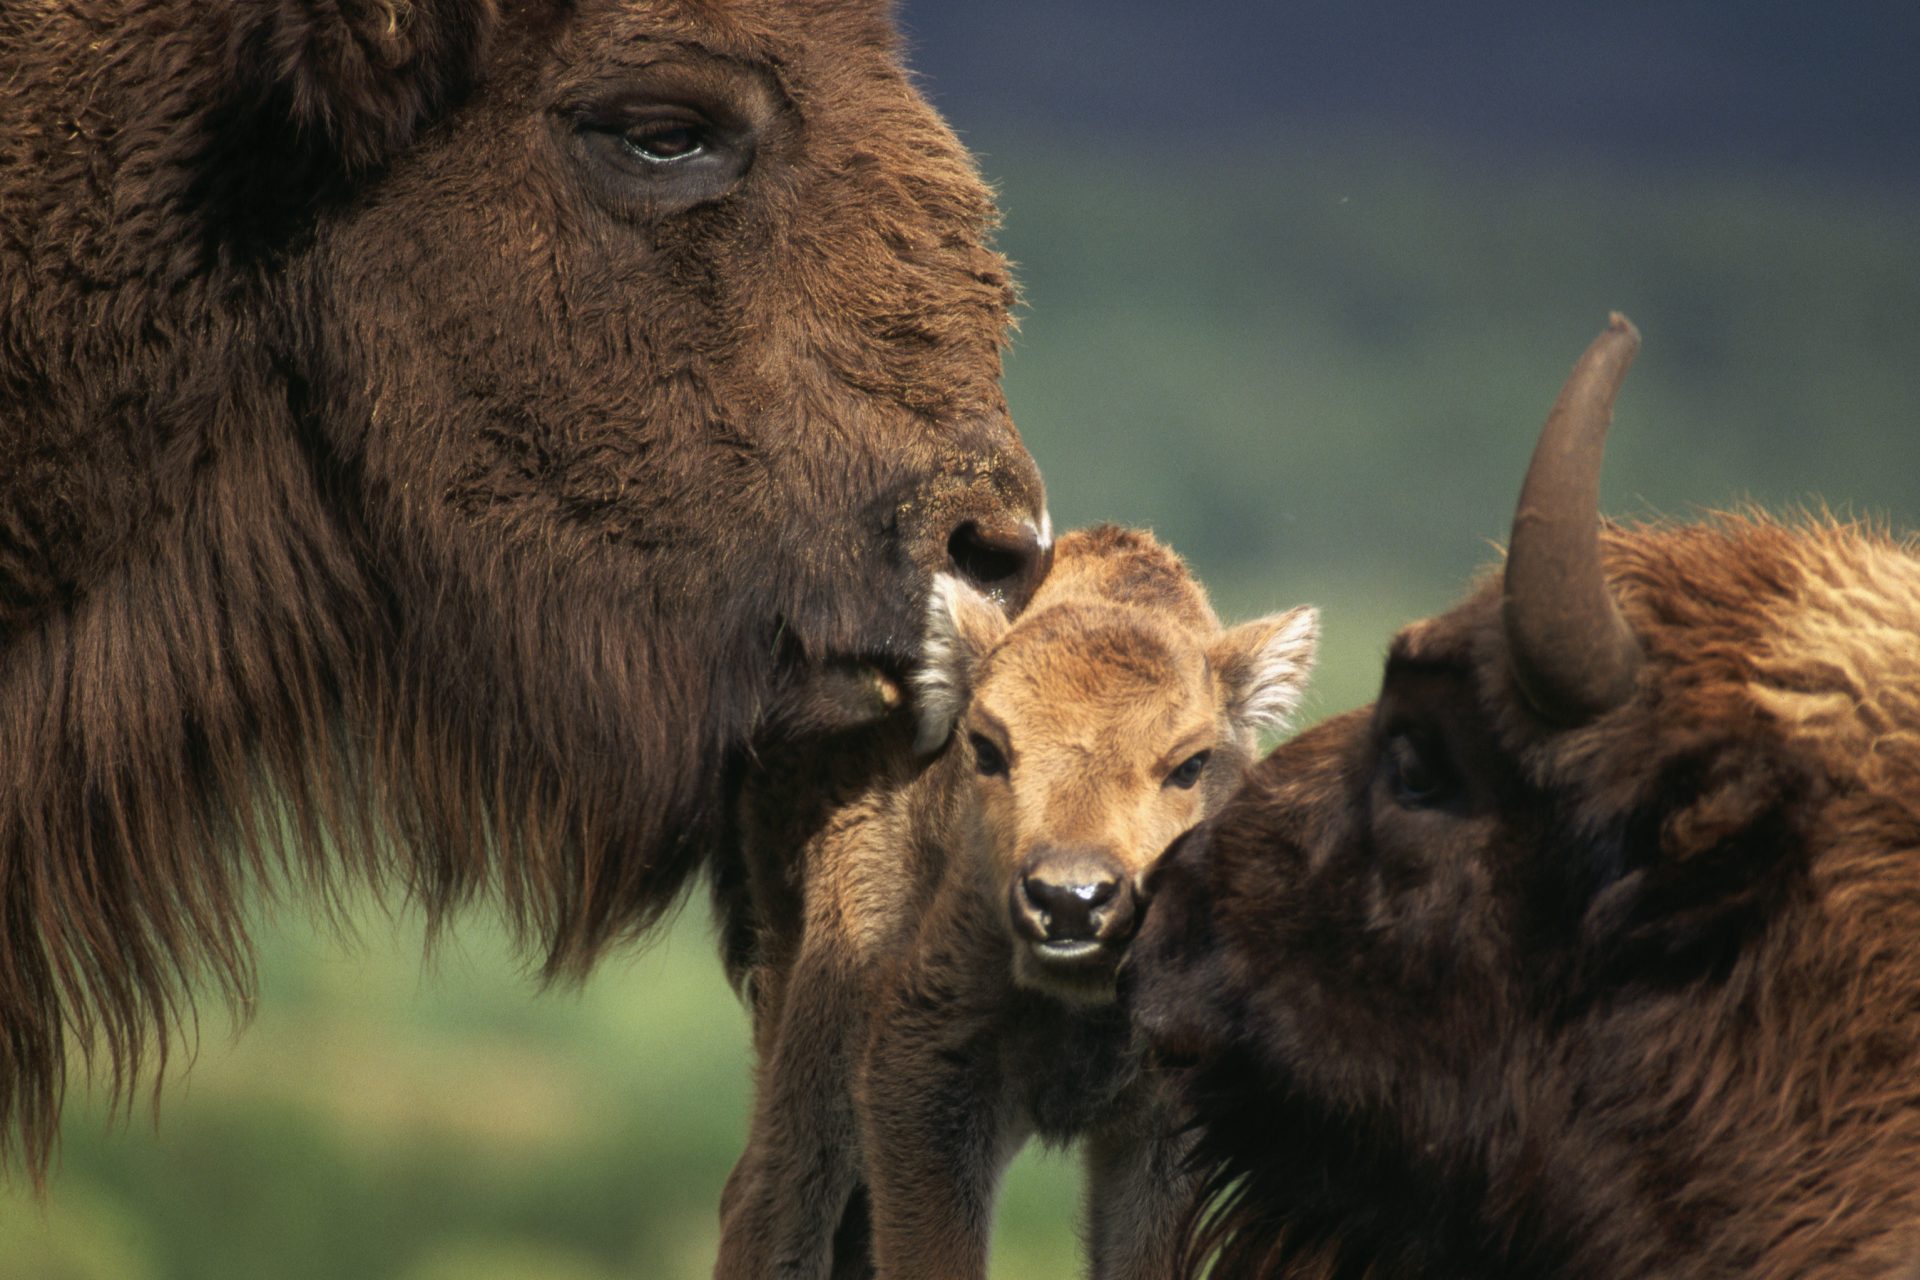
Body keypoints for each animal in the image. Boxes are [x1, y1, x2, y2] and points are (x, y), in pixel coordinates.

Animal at [718, 525, 1320, 1274]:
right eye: (985, 748)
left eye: (1191, 764)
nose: (1070, 900)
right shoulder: (922, 1068)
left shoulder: (1167, 1120)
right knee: (771, 1204)